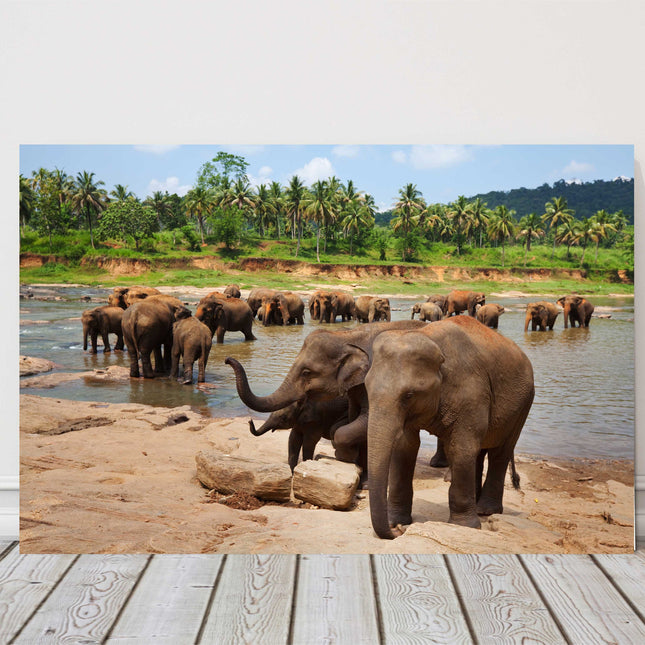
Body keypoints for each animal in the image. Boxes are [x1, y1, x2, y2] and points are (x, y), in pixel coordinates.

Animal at [225, 320, 427, 473]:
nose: (227, 359)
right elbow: (293, 440)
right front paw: (293, 472)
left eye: (306, 372)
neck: (347, 336)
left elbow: (312, 441)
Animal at [364, 315, 534, 538]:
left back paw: (485, 510)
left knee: (500, 452)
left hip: (524, 403)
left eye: (408, 395)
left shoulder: (470, 392)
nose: (397, 531)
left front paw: (465, 527)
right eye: (366, 388)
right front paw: (397, 520)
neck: (429, 336)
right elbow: (405, 447)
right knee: (479, 451)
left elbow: (461, 448)